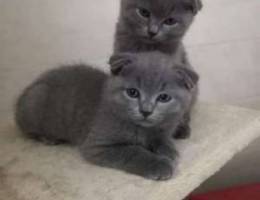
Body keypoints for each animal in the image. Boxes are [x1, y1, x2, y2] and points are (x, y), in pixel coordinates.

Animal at [15, 52, 198, 180]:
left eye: (164, 97)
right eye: (132, 92)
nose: (146, 111)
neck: (143, 129)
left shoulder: (161, 130)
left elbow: (161, 139)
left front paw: (168, 150)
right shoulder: (97, 145)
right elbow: (132, 151)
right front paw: (159, 164)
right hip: (35, 101)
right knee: (28, 131)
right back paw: (48, 138)